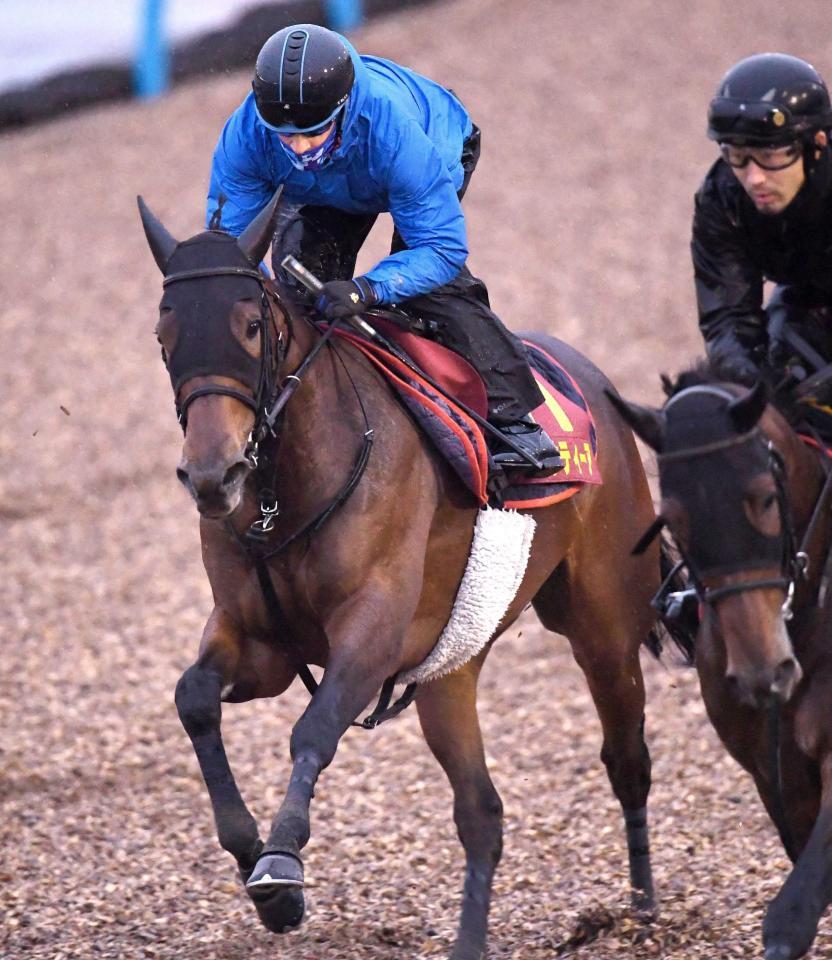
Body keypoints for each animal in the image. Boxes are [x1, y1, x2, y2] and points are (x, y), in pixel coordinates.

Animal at [140, 189, 692, 960]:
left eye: (250, 326)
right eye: (165, 335)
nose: (212, 475)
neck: (287, 494)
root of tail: (597, 386)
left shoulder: (370, 635)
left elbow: (313, 730)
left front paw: (280, 864)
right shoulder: (261, 642)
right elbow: (193, 697)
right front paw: (255, 858)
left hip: (604, 625)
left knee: (627, 759)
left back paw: (642, 914)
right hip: (450, 670)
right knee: (482, 814)